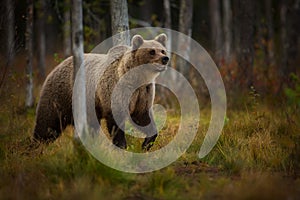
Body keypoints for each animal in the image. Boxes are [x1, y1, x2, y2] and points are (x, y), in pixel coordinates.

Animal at [33, 34, 169, 150]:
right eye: (152, 51)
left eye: (162, 50)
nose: (165, 58)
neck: (137, 78)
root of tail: (57, 66)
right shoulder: (117, 90)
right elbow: (116, 121)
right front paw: (121, 146)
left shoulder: (143, 93)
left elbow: (142, 117)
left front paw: (146, 143)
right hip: (60, 95)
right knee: (47, 123)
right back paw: (36, 145)